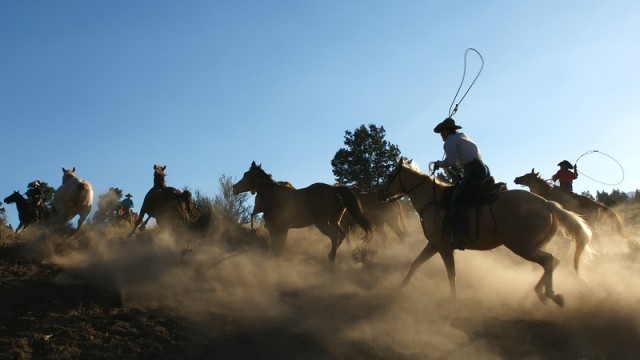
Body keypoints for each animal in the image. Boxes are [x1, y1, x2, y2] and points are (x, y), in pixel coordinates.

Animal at [234, 161, 376, 262]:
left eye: (247, 175)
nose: (235, 188)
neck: (273, 196)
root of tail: (335, 190)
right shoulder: (280, 229)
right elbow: (278, 247)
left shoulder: (277, 228)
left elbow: (277, 247)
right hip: (334, 221)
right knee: (341, 235)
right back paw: (331, 257)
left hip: (322, 223)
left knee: (335, 235)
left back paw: (331, 258)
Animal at [378, 158, 592, 306]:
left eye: (389, 176)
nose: (380, 194)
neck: (434, 201)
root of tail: (547, 204)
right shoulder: (434, 244)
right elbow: (415, 263)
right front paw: (401, 288)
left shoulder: (444, 247)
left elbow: (451, 273)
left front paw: (453, 299)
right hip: (532, 245)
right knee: (551, 262)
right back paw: (540, 293)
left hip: (520, 246)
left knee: (549, 260)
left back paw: (549, 294)